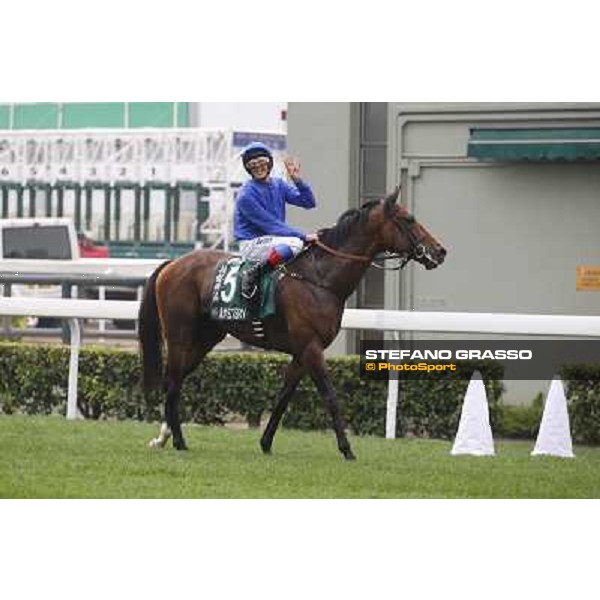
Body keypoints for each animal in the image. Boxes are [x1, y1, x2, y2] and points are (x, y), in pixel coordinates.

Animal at [136, 188, 446, 460]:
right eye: (409, 219)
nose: (440, 251)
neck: (321, 279)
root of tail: (172, 264)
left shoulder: (301, 352)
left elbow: (284, 397)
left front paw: (265, 442)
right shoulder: (311, 348)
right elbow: (330, 395)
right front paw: (346, 449)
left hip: (205, 339)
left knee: (176, 381)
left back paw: (165, 437)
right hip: (180, 336)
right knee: (171, 381)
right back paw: (176, 440)